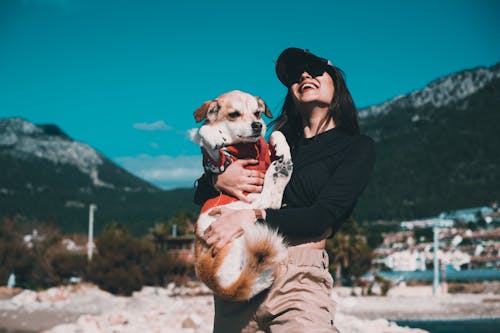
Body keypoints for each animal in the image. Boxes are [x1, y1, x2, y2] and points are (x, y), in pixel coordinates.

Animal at [191, 89, 292, 300]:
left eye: (258, 113)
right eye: (234, 114)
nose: (258, 125)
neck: (248, 147)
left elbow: (276, 133)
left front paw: (279, 144)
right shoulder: (219, 160)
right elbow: (204, 135)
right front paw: (212, 135)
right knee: (269, 200)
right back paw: (280, 169)